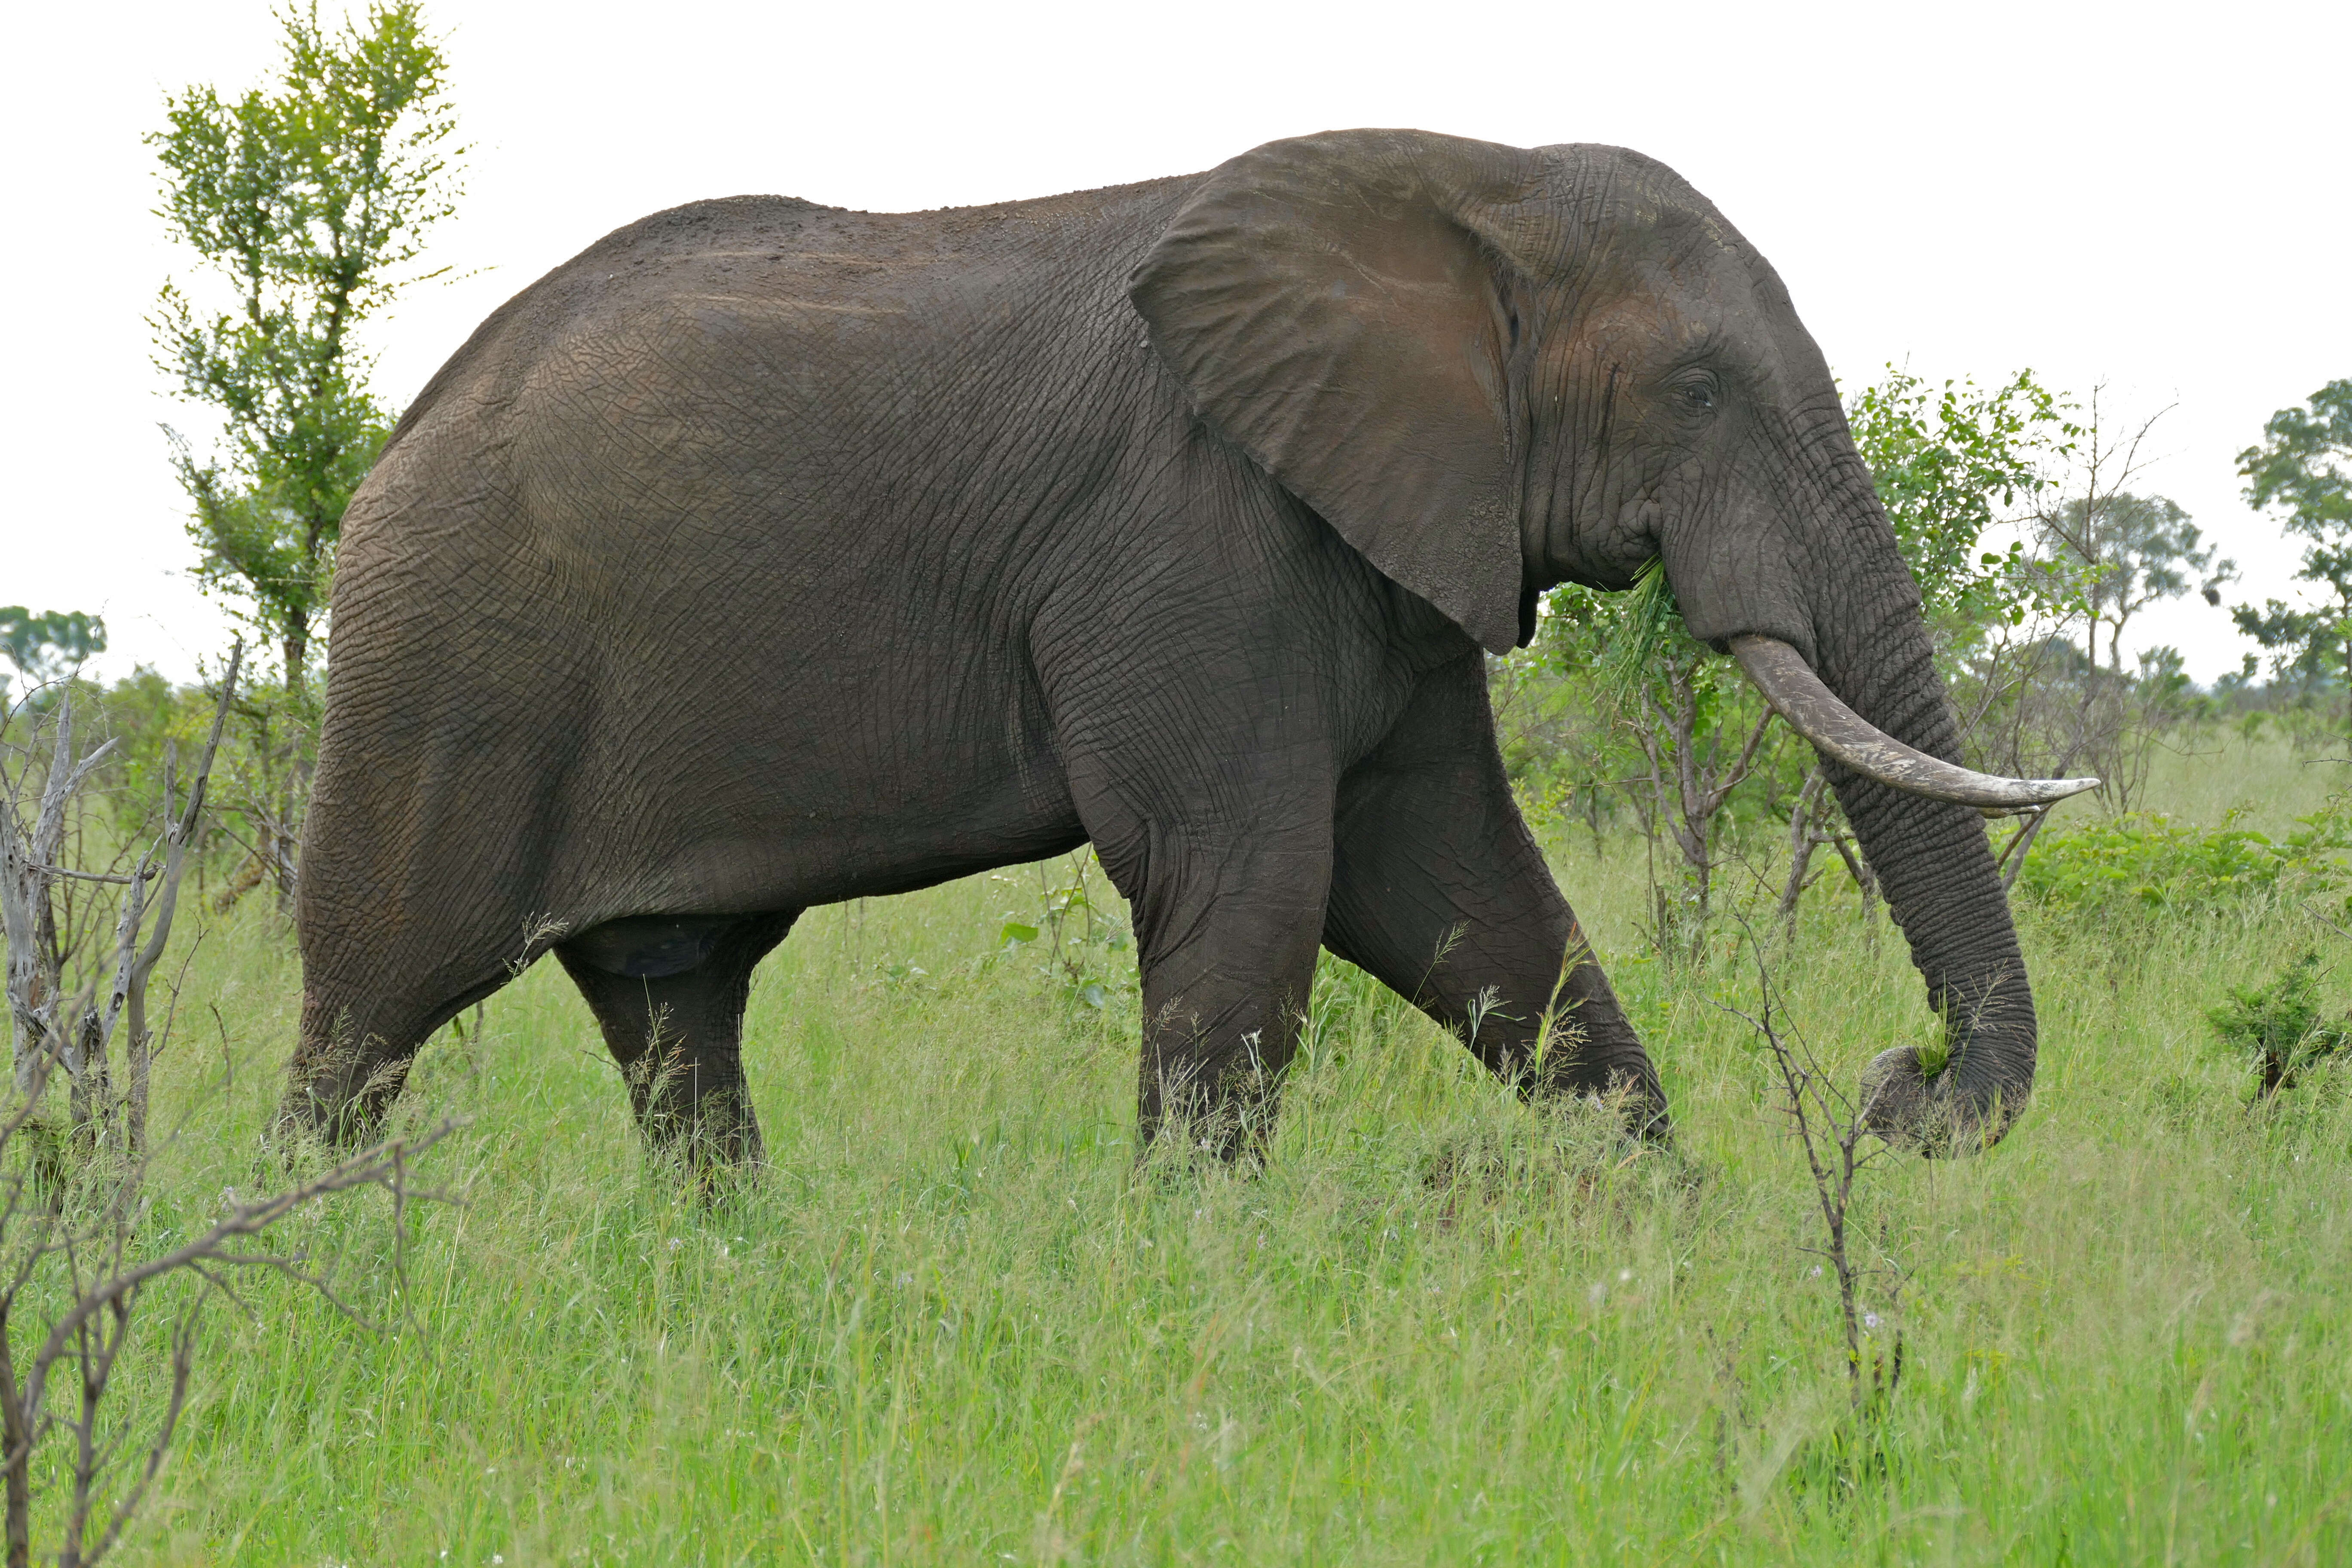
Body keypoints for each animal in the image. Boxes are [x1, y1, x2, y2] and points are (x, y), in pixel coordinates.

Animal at [280, 132, 2098, 1166]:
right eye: (1699, 388)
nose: (1901, 1086)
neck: (1465, 181)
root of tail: (395, 441)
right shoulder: (1191, 536)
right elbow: (1253, 888)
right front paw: (1193, 1294)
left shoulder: (1381, 536)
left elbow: (1471, 898)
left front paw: (1656, 1234)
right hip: (446, 670)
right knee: (368, 1009)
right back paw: (309, 1287)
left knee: (676, 1011)